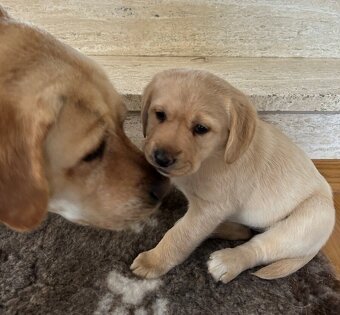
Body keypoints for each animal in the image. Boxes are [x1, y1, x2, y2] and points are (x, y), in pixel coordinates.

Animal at [131, 69, 336, 284]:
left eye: (201, 128)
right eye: (160, 115)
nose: (161, 158)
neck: (213, 155)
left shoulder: (210, 208)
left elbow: (180, 236)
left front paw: (153, 261)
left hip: (306, 220)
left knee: (258, 246)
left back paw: (228, 261)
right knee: (244, 231)